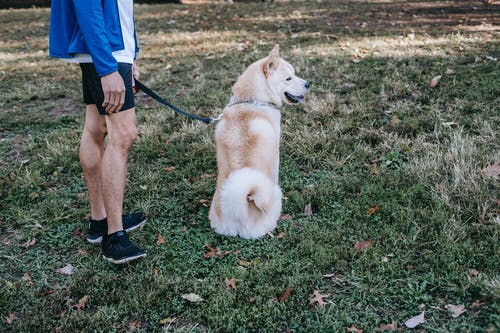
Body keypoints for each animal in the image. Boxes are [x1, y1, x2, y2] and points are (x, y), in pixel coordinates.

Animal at [208, 44, 308, 239]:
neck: (252, 101)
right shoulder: (276, 153)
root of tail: (239, 211)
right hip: (273, 197)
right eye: (288, 78)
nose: (308, 84)